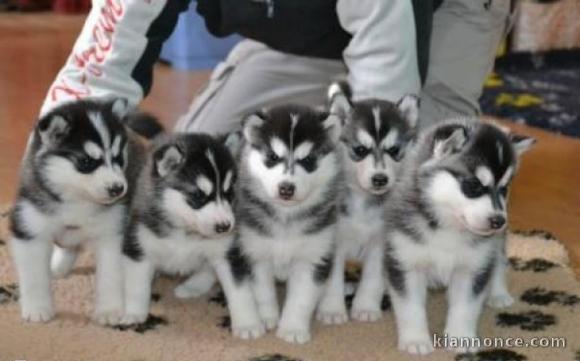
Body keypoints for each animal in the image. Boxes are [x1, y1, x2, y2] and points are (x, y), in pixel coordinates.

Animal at [10, 97, 144, 324]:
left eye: (118, 158)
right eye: (87, 162)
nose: (118, 188)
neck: (77, 200)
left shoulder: (111, 234)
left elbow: (110, 275)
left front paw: (109, 310)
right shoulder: (29, 228)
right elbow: (34, 276)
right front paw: (37, 308)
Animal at [123, 132, 266, 338]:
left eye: (229, 193)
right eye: (198, 195)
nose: (225, 226)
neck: (186, 230)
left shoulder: (228, 253)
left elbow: (240, 291)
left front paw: (248, 324)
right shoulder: (138, 246)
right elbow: (136, 285)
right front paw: (134, 314)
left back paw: (193, 286)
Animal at [236, 105, 342, 344]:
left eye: (308, 160)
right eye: (273, 157)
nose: (286, 188)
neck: (286, 216)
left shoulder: (313, 257)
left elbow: (301, 298)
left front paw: (292, 329)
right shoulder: (255, 252)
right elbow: (262, 292)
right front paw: (267, 318)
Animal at [314, 82, 420, 324]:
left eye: (394, 150)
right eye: (360, 150)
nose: (380, 178)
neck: (364, 201)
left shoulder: (382, 242)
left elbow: (373, 278)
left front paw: (366, 308)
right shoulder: (334, 240)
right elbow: (332, 278)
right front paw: (332, 310)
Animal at [382, 118, 536, 352]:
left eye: (504, 189)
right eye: (473, 185)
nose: (499, 220)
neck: (448, 227)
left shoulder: (472, 267)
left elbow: (465, 308)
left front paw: (460, 338)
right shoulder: (405, 262)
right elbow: (410, 307)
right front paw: (415, 340)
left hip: (496, 243)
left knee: (499, 260)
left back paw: (498, 293)